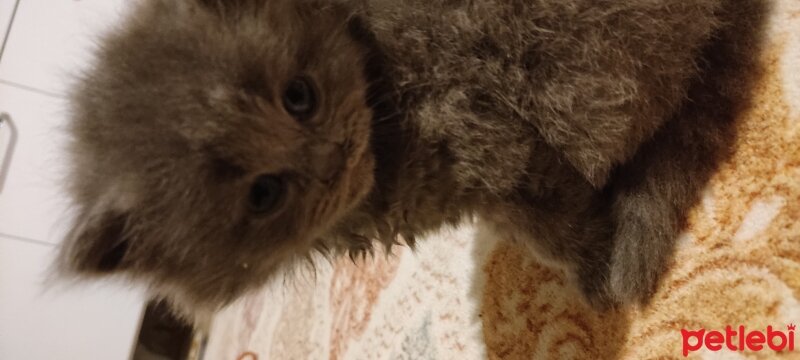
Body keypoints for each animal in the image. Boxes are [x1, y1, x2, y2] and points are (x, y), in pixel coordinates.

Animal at [53, 0, 764, 320]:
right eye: (263, 196)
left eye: (299, 97)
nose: (329, 157)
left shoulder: (491, 140)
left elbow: (559, 232)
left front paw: (595, 285)